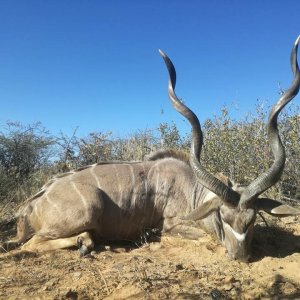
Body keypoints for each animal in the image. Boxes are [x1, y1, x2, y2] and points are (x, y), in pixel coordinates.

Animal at [2, 38, 300, 262]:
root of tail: (30, 206)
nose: (240, 257)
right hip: (88, 207)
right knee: (30, 245)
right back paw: (85, 243)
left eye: (252, 219)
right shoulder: (169, 224)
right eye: (223, 217)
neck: (191, 188)